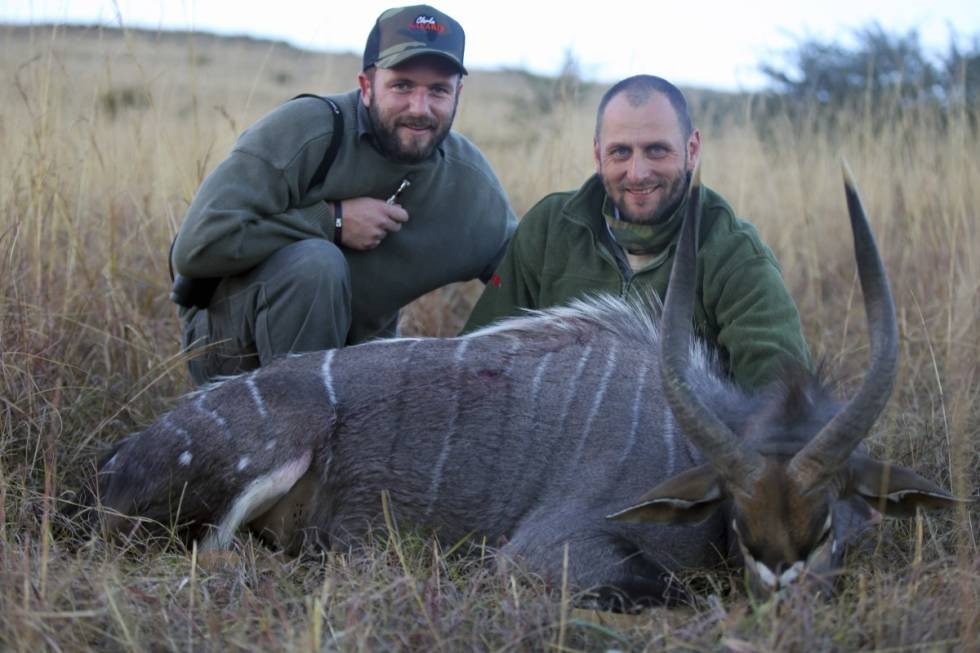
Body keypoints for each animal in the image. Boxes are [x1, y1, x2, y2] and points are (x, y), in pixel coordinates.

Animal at [90, 166, 964, 604]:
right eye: (740, 508)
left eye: (832, 509)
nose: (784, 571)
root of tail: (115, 462)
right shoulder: (540, 554)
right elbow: (661, 586)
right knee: (211, 553)